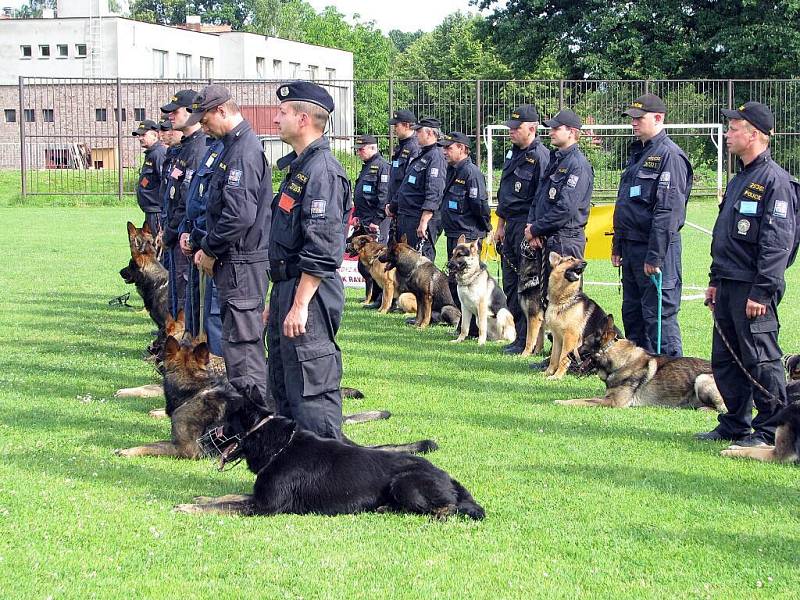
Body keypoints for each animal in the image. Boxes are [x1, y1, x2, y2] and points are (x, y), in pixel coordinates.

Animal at [173, 396, 482, 516]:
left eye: (227, 423)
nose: (203, 439)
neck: (279, 447)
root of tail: (448, 477)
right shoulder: (259, 498)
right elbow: (227, 498)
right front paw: (201, 499)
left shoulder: (264, 507)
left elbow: (226, 505)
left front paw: (189, 507)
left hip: (405, 483)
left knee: (450, 508)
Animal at [556, 314, 724, 408]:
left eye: (584, 343)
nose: (568, 355)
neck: (622, 362)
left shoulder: (613, 402)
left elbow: (581, 400)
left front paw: (561, 402)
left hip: (701, 379)